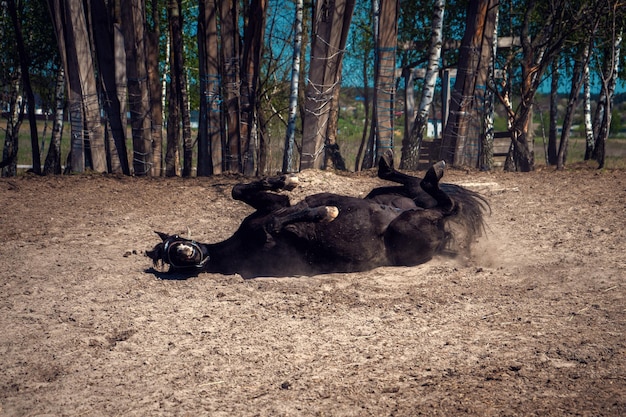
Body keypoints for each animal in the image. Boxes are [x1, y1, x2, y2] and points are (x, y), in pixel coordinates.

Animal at [146, 151, 488, 278]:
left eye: (170, 242)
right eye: (166, 257)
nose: (184, 251)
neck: (235, 247)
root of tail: (444, 234)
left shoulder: (272, 206)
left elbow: (241, 191)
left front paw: (287, 179)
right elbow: (280, 220)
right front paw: (325, 211)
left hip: (394, 200)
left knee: (422, 189)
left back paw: (397, 165)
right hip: (407, 224)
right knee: (445, 205)